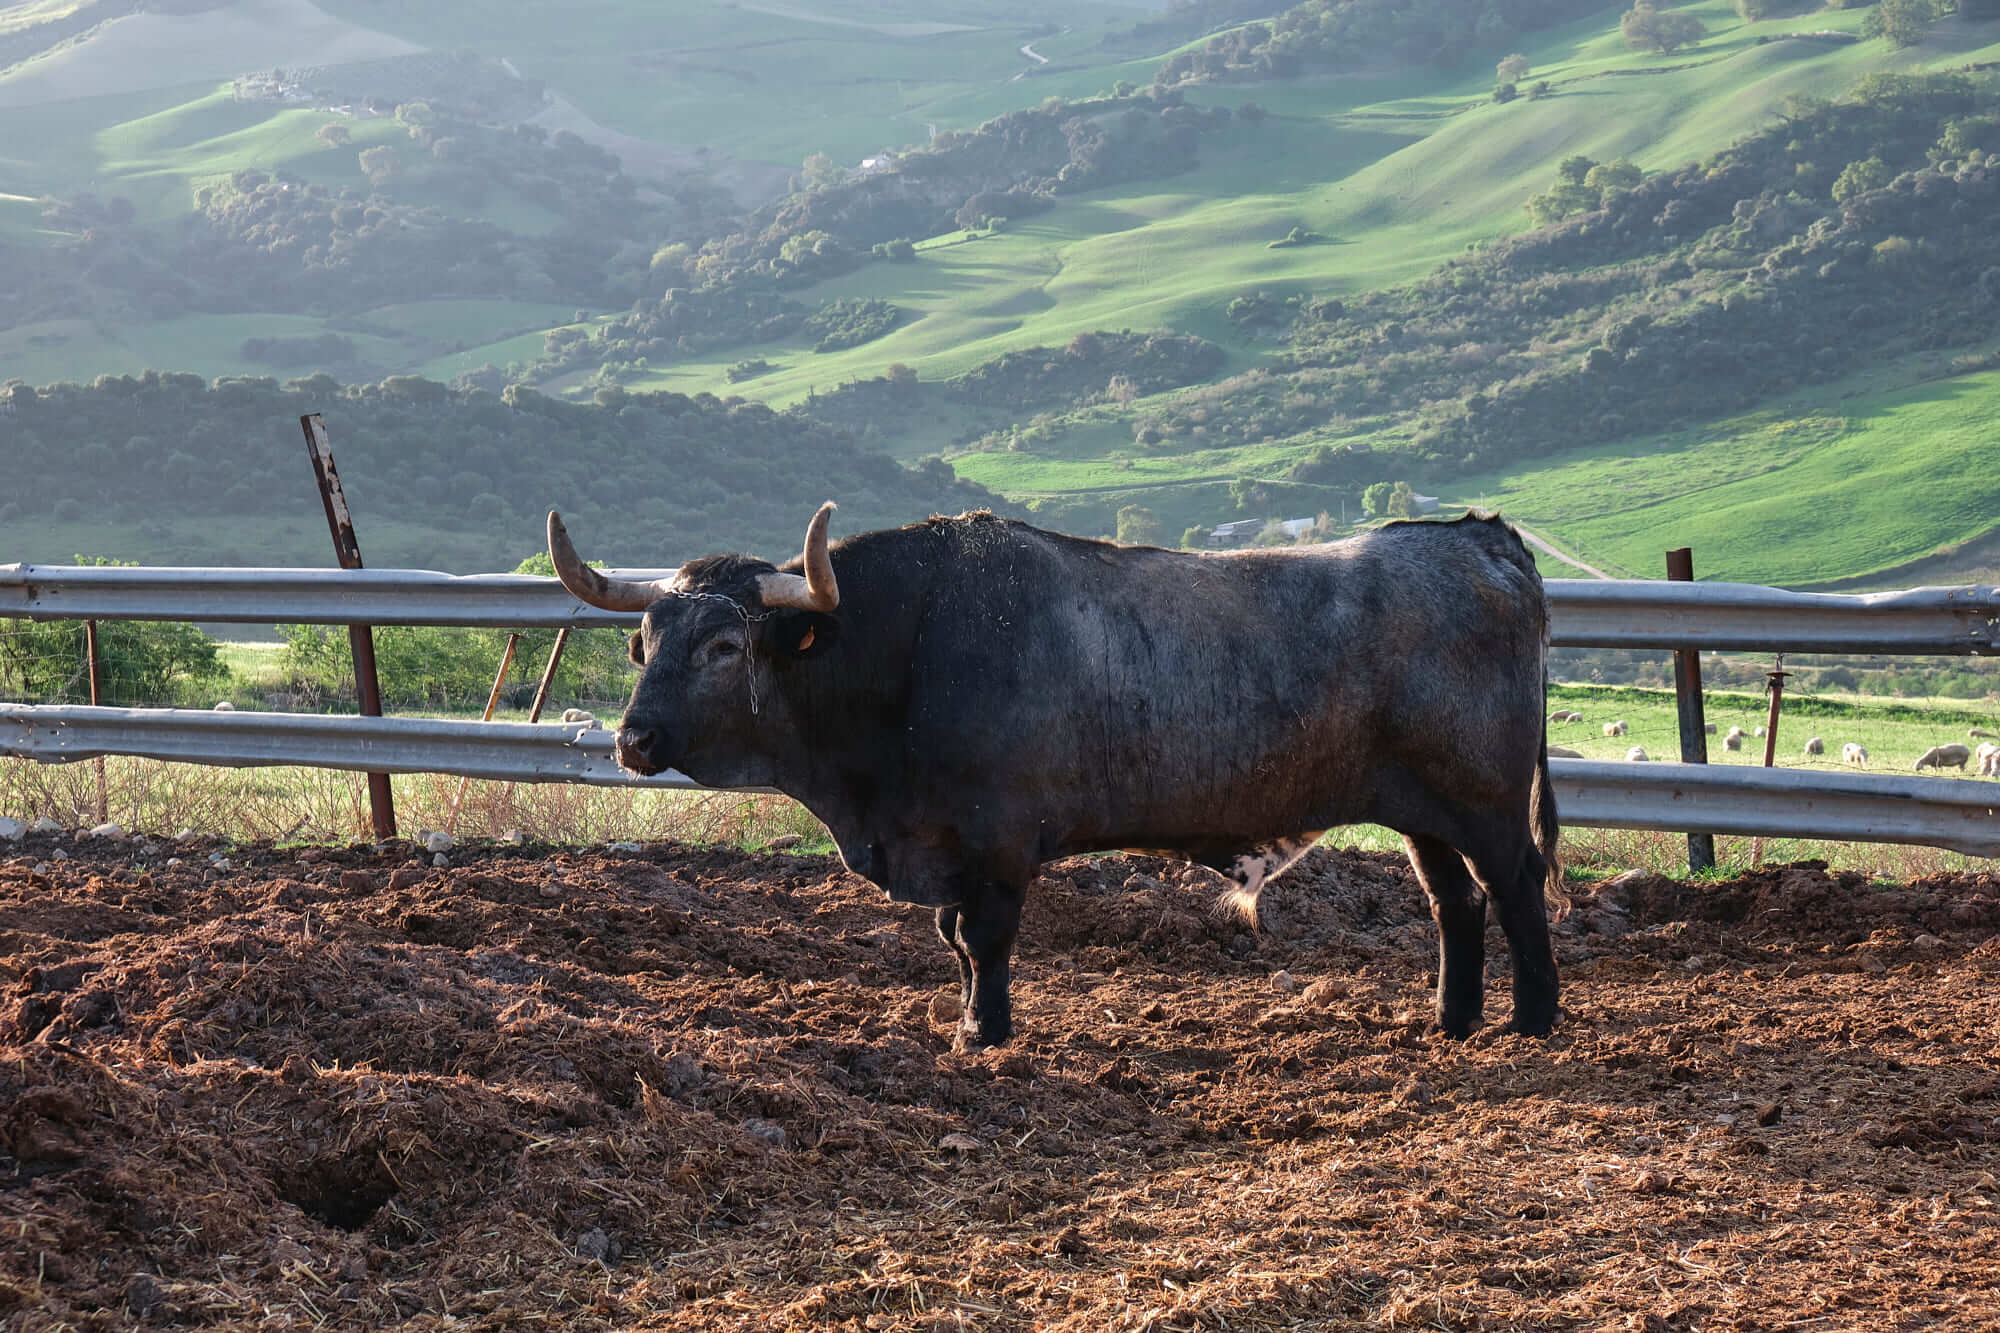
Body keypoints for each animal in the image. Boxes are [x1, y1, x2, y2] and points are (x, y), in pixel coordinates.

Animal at [548, 504, 1560, 1040]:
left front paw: (986, 1030)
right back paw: (1452, 1018)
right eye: (642, 641)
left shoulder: (998, 844)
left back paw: (1531, 1019)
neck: (911, 643)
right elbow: (955, 939)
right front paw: (966, 1019)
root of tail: (1478, 538)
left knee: (1515, 891)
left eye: (723, 645)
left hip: (1488, 803)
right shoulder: (949, 846)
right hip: (1424, 812)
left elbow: (984, 939)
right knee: (1454, 902)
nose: (632, 741)